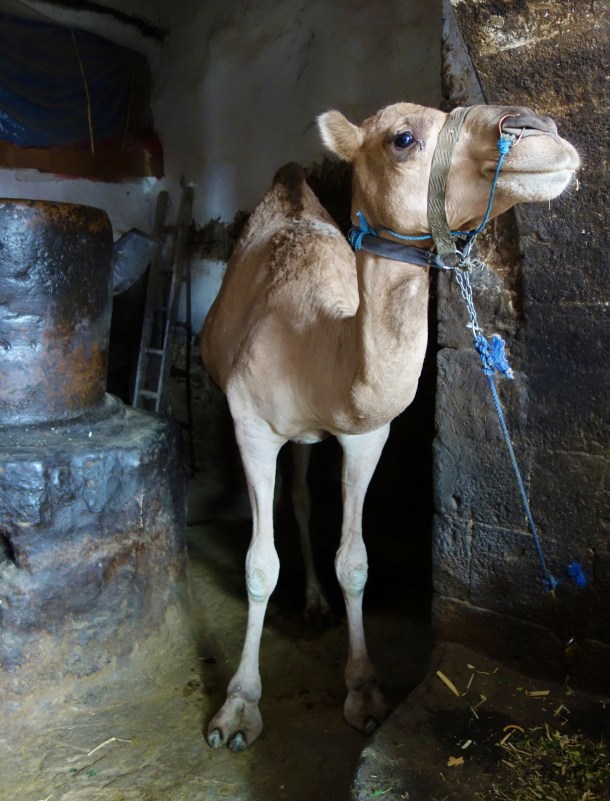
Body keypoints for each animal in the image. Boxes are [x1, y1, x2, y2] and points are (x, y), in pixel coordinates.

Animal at [200, 101, 579, 751]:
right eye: (403, 140)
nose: (540, 132)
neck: (316, 346)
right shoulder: (251, 427)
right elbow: (258, 566)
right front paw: (238, 709)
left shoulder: (365, 433)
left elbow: (354, 561)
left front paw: (365, 692)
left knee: (302, 496)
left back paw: (316, 604)